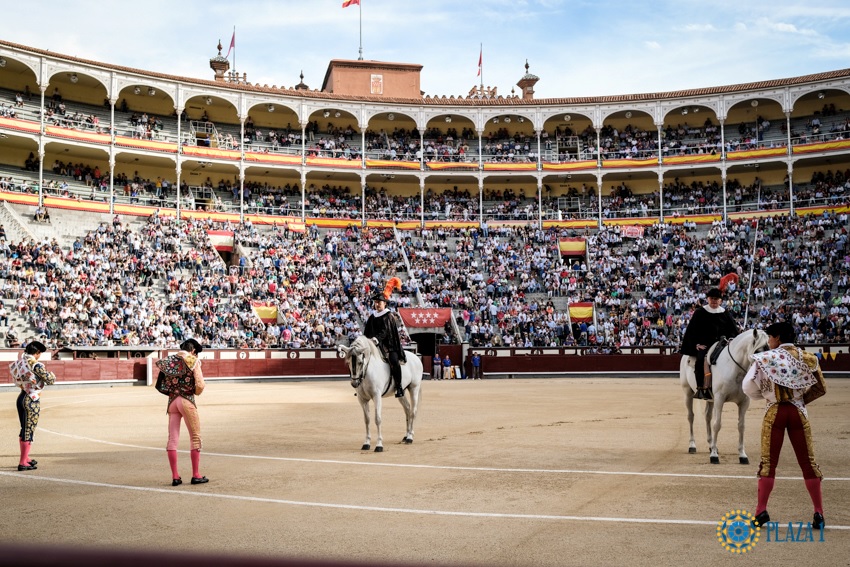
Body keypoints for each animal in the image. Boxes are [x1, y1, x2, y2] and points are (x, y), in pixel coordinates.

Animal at [676, 328, 768, 466]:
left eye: (768, 349)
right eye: (757, 351)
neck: (735, 369)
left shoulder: (744, 402)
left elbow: (741, 426)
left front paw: (742, 455)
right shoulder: (720, 399)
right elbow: (717, 424)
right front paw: (714, 456)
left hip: (710, 399)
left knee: (707, 416)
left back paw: (710, 444)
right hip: (688, 393)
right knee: (691, 416)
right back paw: (692, 445)